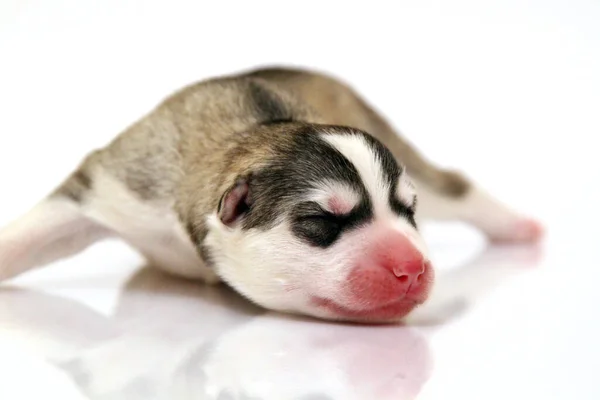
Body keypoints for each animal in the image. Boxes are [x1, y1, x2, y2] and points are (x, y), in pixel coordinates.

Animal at [0, 65, 544, 322]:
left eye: (409, 212)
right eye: (321, 221)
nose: (411, 267)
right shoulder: (115, 183)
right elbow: (36, 232)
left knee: (454, 185)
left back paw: (519, 226)